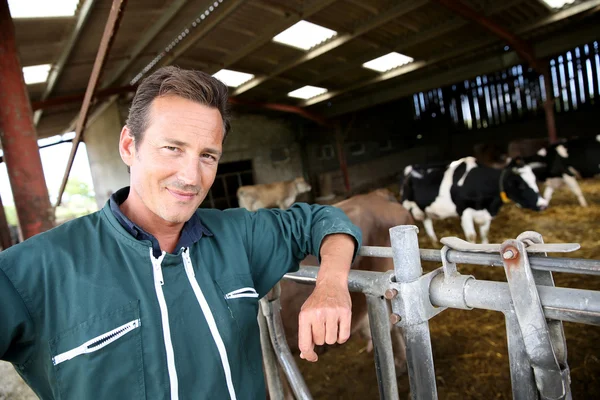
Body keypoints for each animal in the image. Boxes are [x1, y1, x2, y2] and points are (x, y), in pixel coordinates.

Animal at [400, 156, 548, 244]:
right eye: (522, 185)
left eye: (535, 180)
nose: (543, 205)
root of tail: (411, 167)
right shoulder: (464, 211)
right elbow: (471, 236)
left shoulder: (487, 214)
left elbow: (484, 233)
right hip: (406, 205)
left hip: (424, 208)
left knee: (427, 221)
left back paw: (434, 240)